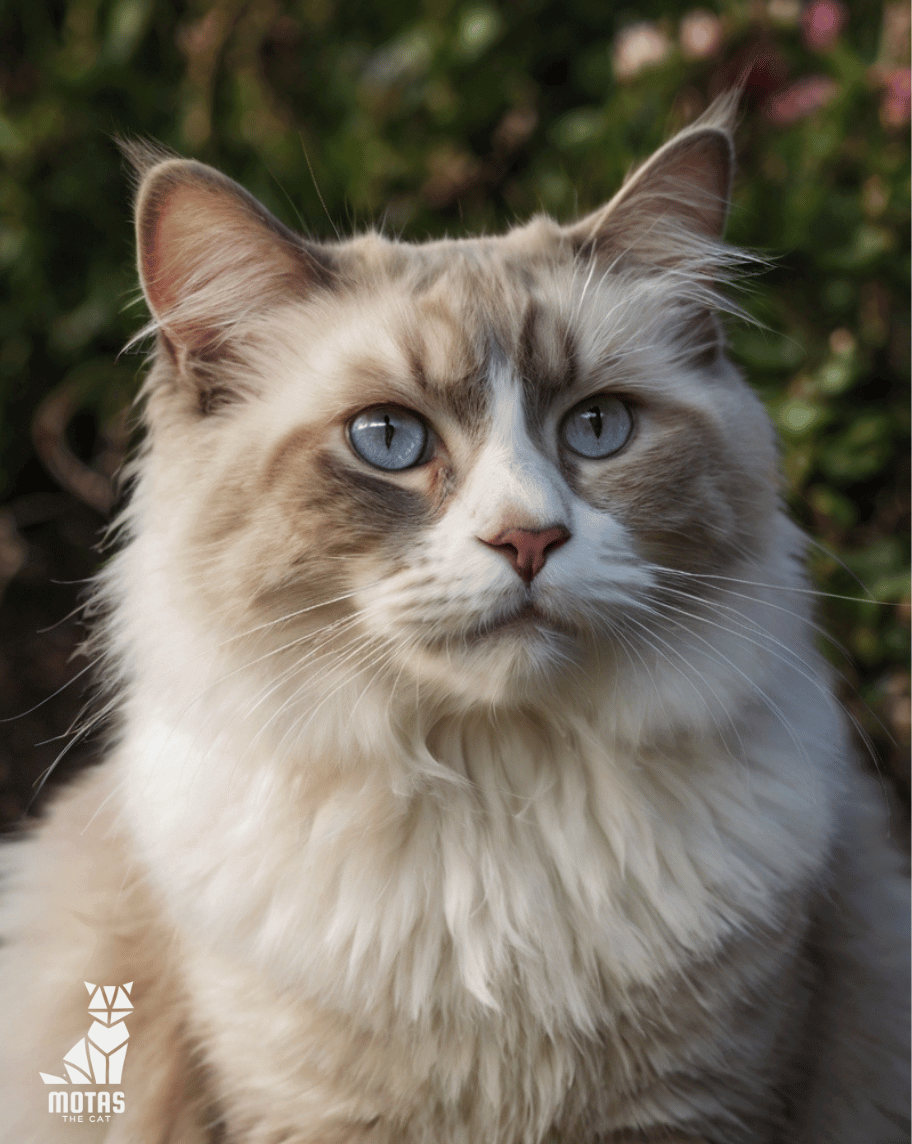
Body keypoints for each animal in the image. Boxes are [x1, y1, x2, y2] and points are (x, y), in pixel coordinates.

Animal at [1, 93, 910, 1139]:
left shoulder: (702, 1100)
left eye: (597, 428)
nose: (529, 538)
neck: (495, 797)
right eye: (388, 440)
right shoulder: (306, 1109)